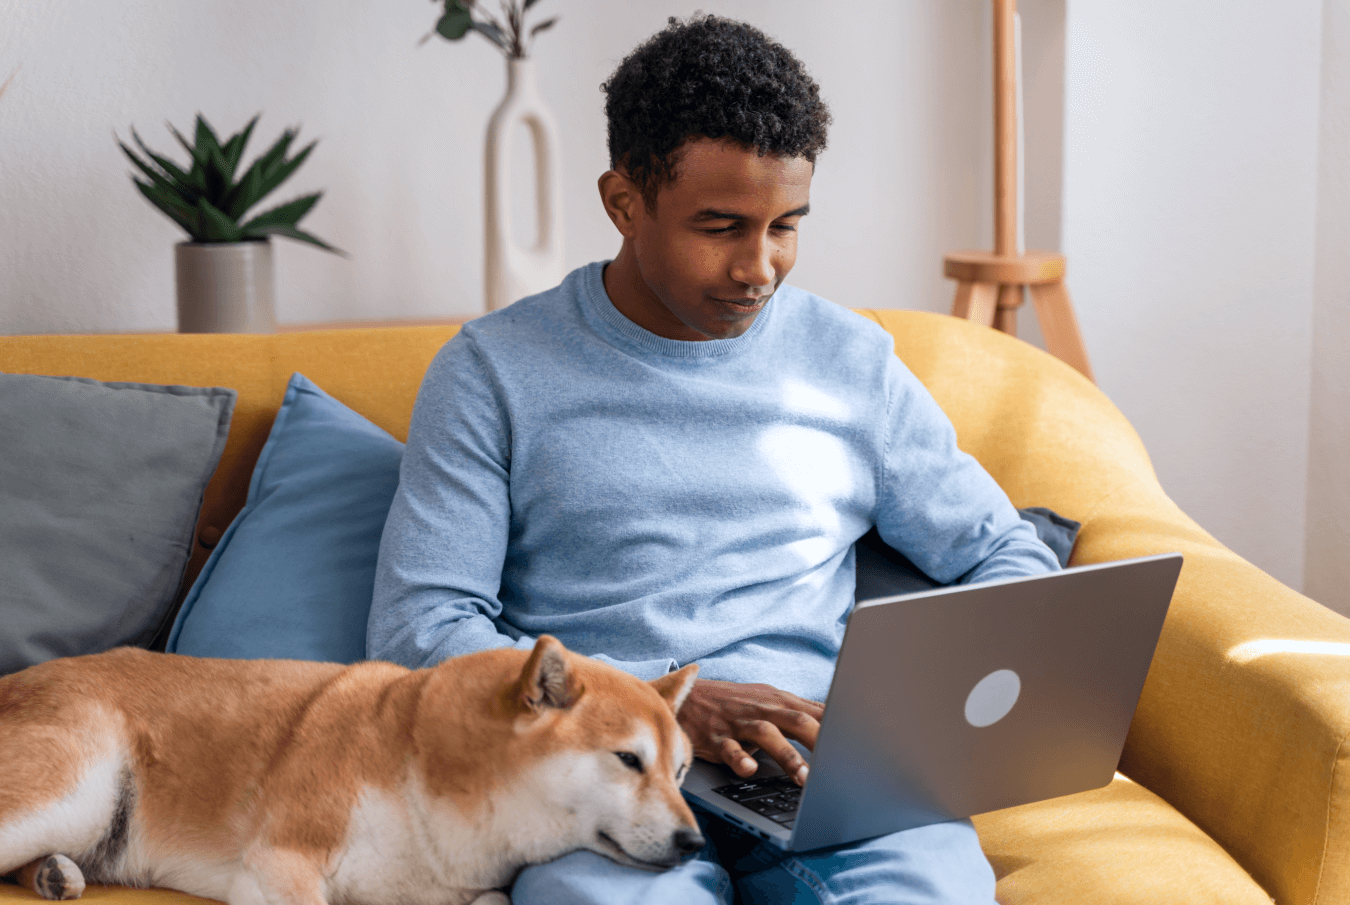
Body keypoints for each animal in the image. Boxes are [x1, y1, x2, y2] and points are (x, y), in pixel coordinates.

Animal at [0, 637, 696, 905]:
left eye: (682, 771)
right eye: (629, 760)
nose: (695, 842)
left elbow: (495, 899)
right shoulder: (282, 860)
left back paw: (56, 874)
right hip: (76, 790)